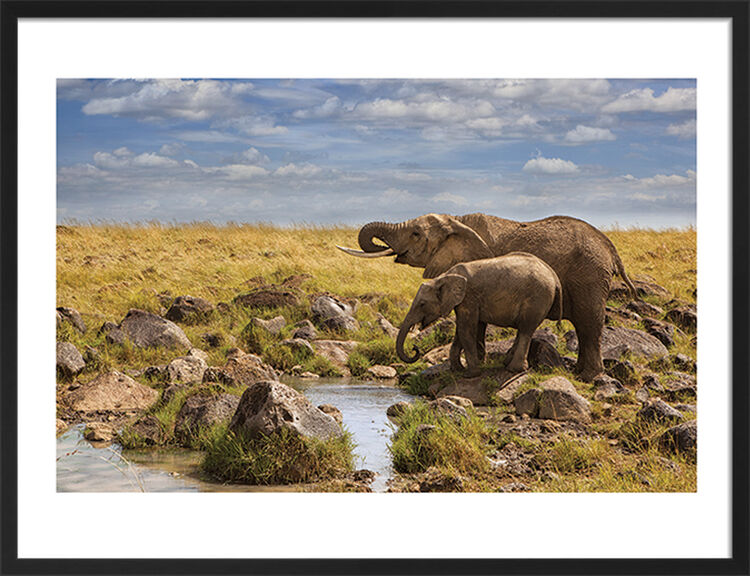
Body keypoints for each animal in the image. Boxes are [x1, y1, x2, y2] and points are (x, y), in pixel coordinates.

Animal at [395, 253, 562, 377]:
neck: (444, 277)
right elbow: (465, 329)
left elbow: (466, 329)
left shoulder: (468, 297)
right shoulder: (465, 300)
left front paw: (470, 374)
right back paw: (507, 363)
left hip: (537, 298)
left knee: (526, 329)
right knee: (524, 329)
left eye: (422, 304)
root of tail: (555, 277)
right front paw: (459, 369)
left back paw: (514, 369)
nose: (415, 349)